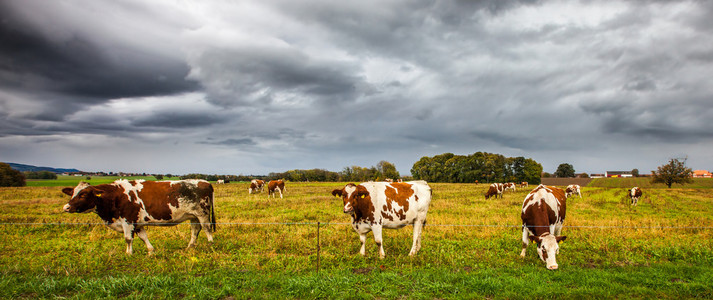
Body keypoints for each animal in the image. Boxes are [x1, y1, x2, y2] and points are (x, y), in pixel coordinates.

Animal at [59, 180, 216, 255]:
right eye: (72, 192)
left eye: (83, 194)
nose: (66, 207)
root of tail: (205, 182)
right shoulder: (137, 222)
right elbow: (143, 237)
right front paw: (151, 251)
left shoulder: (127, 220)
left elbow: (128, 239)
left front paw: (129, 253)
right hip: (193, 216)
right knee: (195, 230)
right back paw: (190, 246)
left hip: (202, 213)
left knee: (207, 228)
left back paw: (210, 244)